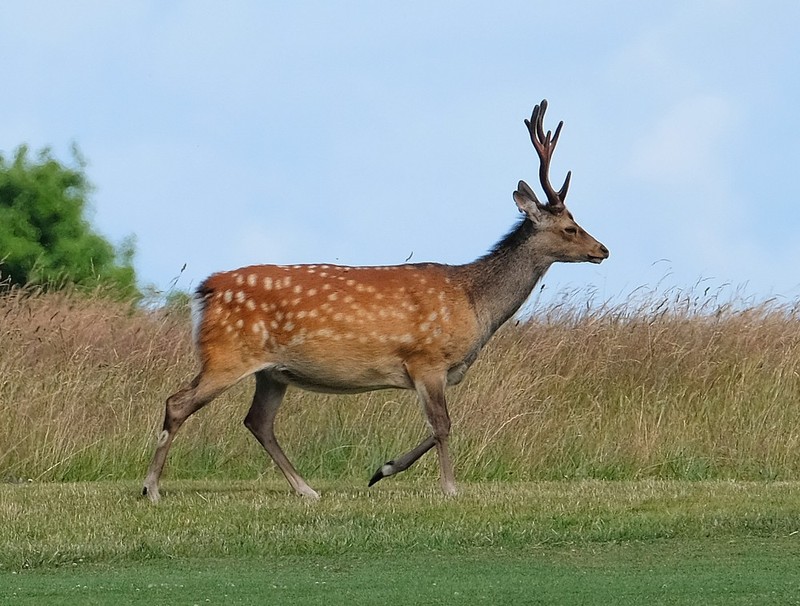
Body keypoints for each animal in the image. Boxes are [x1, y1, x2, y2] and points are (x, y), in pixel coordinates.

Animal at [142, 100, 608, 504]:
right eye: (570, 227)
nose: (602, 249)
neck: (475, 304)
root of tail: (207, 289)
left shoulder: (431, 371)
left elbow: (435, 427)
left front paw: (381, 471)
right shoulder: (426, 358)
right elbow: (443, 425)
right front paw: (450, 488)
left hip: (272, 371)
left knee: (258, 421)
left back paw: (306, 490)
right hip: (226, 354)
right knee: (177, 403)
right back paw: (152, 489)